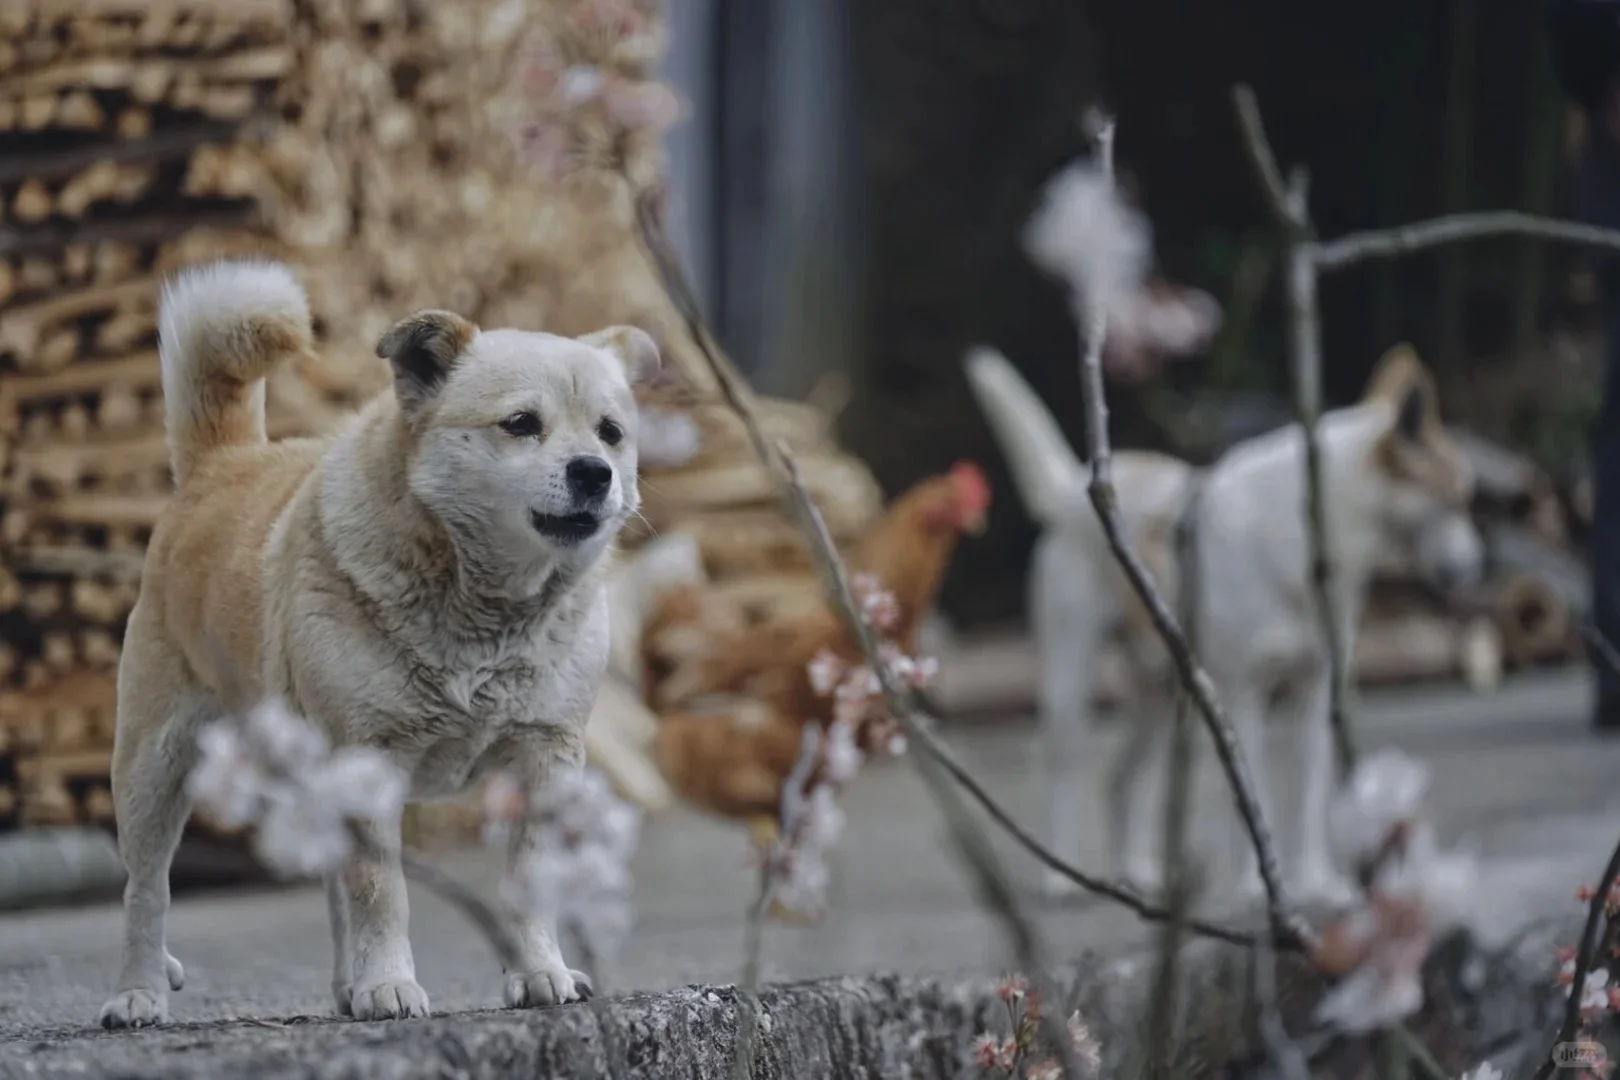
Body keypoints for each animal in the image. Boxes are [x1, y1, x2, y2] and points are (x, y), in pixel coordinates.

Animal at [99, 257, 657, 1029]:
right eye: (521, 424)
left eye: (610, 433)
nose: (594, 473)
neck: (484, 615)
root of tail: (221, 464)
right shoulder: (367, 757)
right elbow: (380, 892)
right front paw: (390, 984)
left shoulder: (546, 757)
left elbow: (527, 881)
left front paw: (538, 971)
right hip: (153, 769)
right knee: (145, 890)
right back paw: (139, 990)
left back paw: (342, 987)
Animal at [959, 344, 1483, 906]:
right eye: (1456, 499)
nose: (1477, 569)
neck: (1306, 545)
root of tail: (1073, 485)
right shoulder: (1242, 696)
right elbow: (1255, 804)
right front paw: (1258, 890)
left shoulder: (1314, 695)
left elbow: (1308, 799)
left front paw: (1318, 884)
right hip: (1070, 687)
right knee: (1066, 770)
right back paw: (1062, 878)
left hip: (1160, 699)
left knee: (1122, 780)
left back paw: (1140, 873)